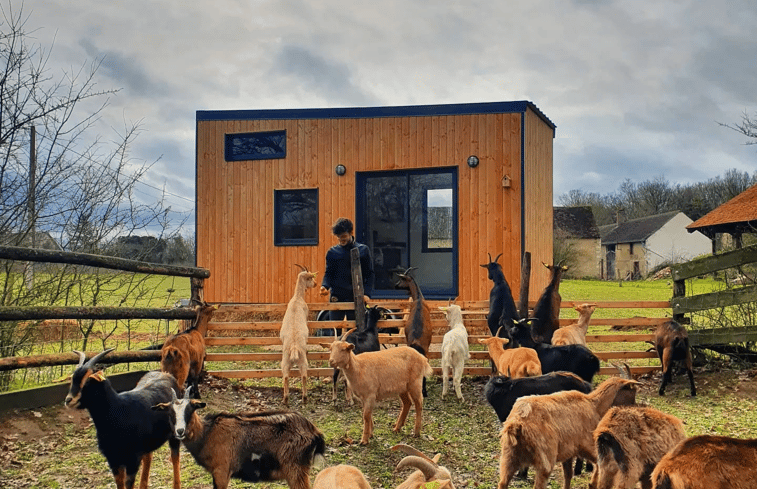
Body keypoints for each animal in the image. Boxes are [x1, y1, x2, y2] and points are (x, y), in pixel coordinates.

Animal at [63, 346, 182, 488]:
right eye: (73, 379)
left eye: (87, 380)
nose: (68, 400)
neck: (119, 410)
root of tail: (166, 374)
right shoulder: (113, 459)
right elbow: (120, 483)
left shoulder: (132, 459)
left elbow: (128, 483)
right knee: (149, 457)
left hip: (174, 434)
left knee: (175, 457)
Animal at [152, 386, 324, 488]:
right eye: (170, 412)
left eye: (190, 409)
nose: (180, 431)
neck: (207, 433)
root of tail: (314, 431)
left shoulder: (222, 471)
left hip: (295, 470)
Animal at [280, 264, 318, 404]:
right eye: (310, 278)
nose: (316, 284)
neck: (297, 298)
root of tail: (295, 348)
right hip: (303, 361)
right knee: (304, 376)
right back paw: (305, 398)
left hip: (285, 361)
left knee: (286, 376)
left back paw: (285, 399)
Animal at [500, 374, 640, 488]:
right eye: (632, 393)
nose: (634, 411)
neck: (594, 405)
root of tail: (518, 421)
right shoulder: (588, 446)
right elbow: (601, 465)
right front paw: (593, 484)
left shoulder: (568, 453)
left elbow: (568, 475)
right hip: (545, 461)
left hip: (509, 457)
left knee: (502, 483)